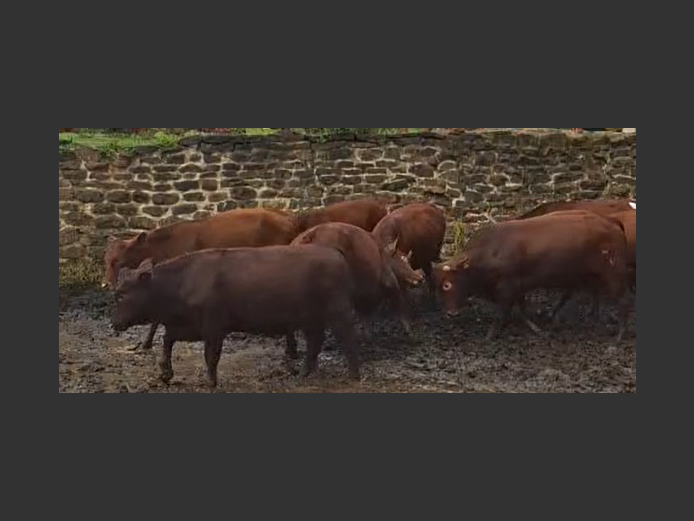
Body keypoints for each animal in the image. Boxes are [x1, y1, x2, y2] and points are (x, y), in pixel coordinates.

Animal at [110, 246, 362, 389]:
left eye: (121, 294)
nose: (115, 323)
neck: (182, 281)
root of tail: (336, 255)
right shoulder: (186, 325)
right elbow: (167, 339)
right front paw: (165, 373)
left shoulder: (213, 327)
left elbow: (211, 355)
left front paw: (210, 381)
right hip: (311, 318)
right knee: (315, 342)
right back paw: (303, 373)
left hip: (337, 311)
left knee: (348, 336)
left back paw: (354, 374)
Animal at [290, 222, 424, 350]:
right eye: (402, 260)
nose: (419, 278)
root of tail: (310, 236)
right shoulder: (388, 284)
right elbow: (398, 308)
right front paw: (410, 335)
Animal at [432, 210, 632, 342]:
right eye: (438, 286)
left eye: (447, 284)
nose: (450, 313)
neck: (492, 251)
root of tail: (610, 221)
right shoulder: (518, 287)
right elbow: (522, 310)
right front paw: (535, 328)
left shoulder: (508, 287)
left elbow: (502, 313)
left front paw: (490, 335)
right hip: (592, 275)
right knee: (592, 296)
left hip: (613, 274)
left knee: (623, 303)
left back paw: (618, 337)